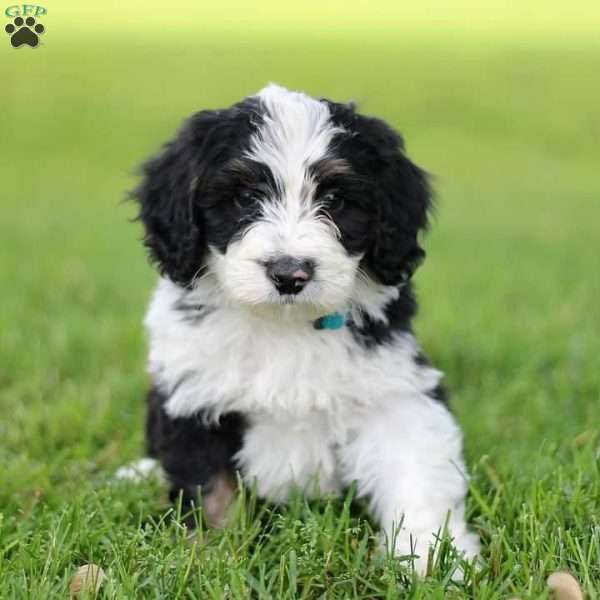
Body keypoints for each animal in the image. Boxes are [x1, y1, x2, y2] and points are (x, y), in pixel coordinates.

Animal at [129, 84, 480, 572]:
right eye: (245, 199)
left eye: (333, 200)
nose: (289, 273)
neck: (284, 324)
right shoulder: (192, 398)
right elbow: (211, 492)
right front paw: (214, 559)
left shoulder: (393, 391)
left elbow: (415, 473)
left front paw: (431, 560)